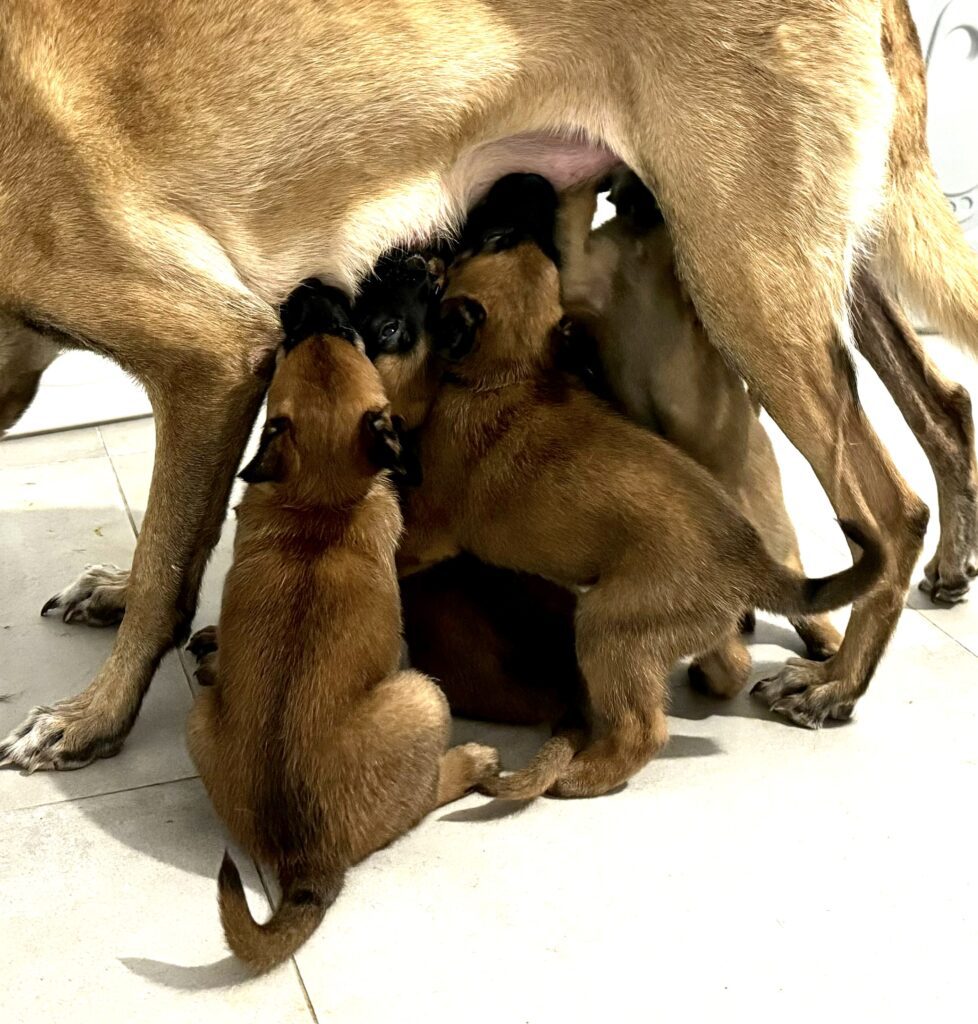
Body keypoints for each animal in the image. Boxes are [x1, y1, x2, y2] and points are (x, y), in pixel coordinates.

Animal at [187, 284, 501, 970]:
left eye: (339, 333)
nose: (311, 290)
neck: (320, 501)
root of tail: (308, 860)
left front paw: (216, 644)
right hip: (425, 696)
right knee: (426, 796)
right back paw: (471, 761)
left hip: (199, 719)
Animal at [391, 174, 888, 798]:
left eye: (490, 239)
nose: (529, 184)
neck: (510, 374)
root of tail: (751, 565)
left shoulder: (429, 531)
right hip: (660, 627)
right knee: (728, 662)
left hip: (607, 628)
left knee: (643, 729)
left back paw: (581, 776)